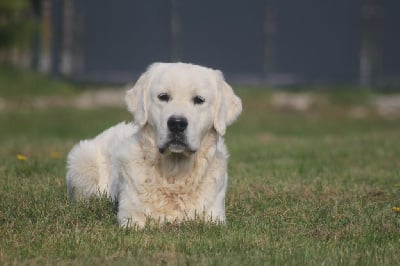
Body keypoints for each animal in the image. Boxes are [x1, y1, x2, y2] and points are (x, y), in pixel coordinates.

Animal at [66, 61, 242, 227]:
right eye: (163, 96)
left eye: (199, 100)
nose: (177, 123)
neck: (174, 174)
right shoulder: (130, 217)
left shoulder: (215, 217)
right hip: (82, 161)